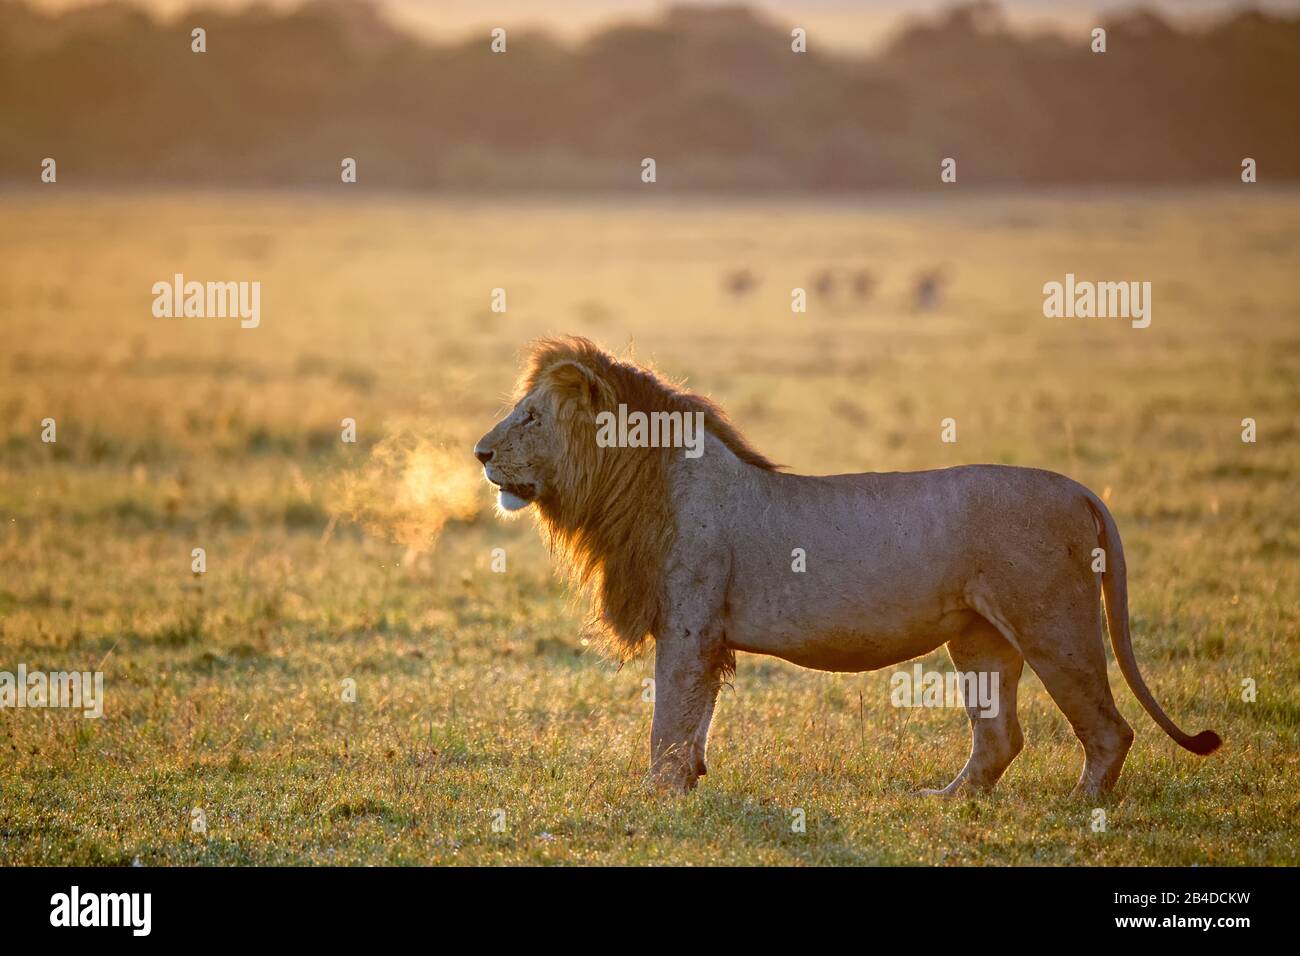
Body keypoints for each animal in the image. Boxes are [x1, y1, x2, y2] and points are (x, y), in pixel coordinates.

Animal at [473, 336, 1221, 796]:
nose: (479, 453)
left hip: (1053, 623)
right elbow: (693, 722)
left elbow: (669, 720)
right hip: (979, 637)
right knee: (1000, 738)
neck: (635, 483)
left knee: (1108, 729)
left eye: (530, 417)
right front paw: (685, 785)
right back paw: (948, 800)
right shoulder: (704, 636)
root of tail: (1080, 489)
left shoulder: (688, 625)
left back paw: (1080, 807)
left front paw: (654, 795)